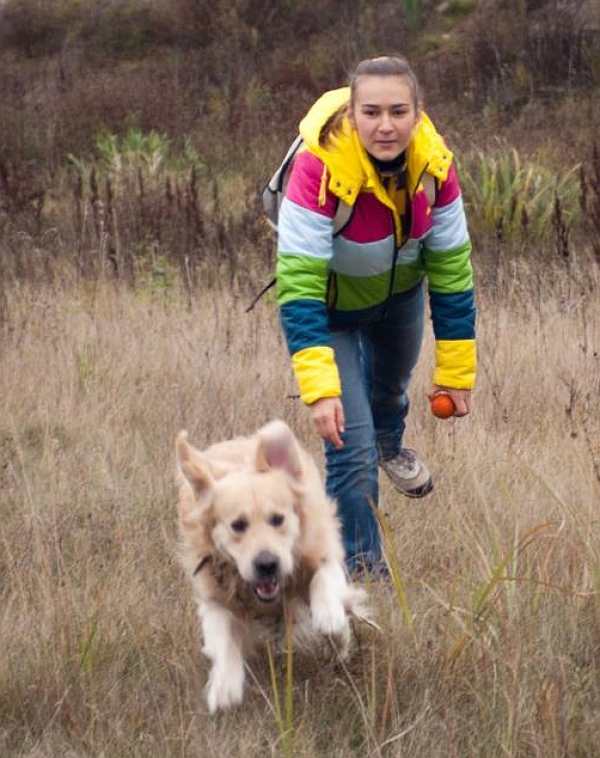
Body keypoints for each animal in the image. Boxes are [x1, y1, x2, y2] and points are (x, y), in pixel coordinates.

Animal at [173, 418, 372, 716]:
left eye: (278, 519)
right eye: (238, 525)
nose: (267, 564)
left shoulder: (321, 547)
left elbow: (324, 578)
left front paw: (330, 617)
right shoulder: (214, 595)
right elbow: (223, 639)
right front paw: (224, 686)